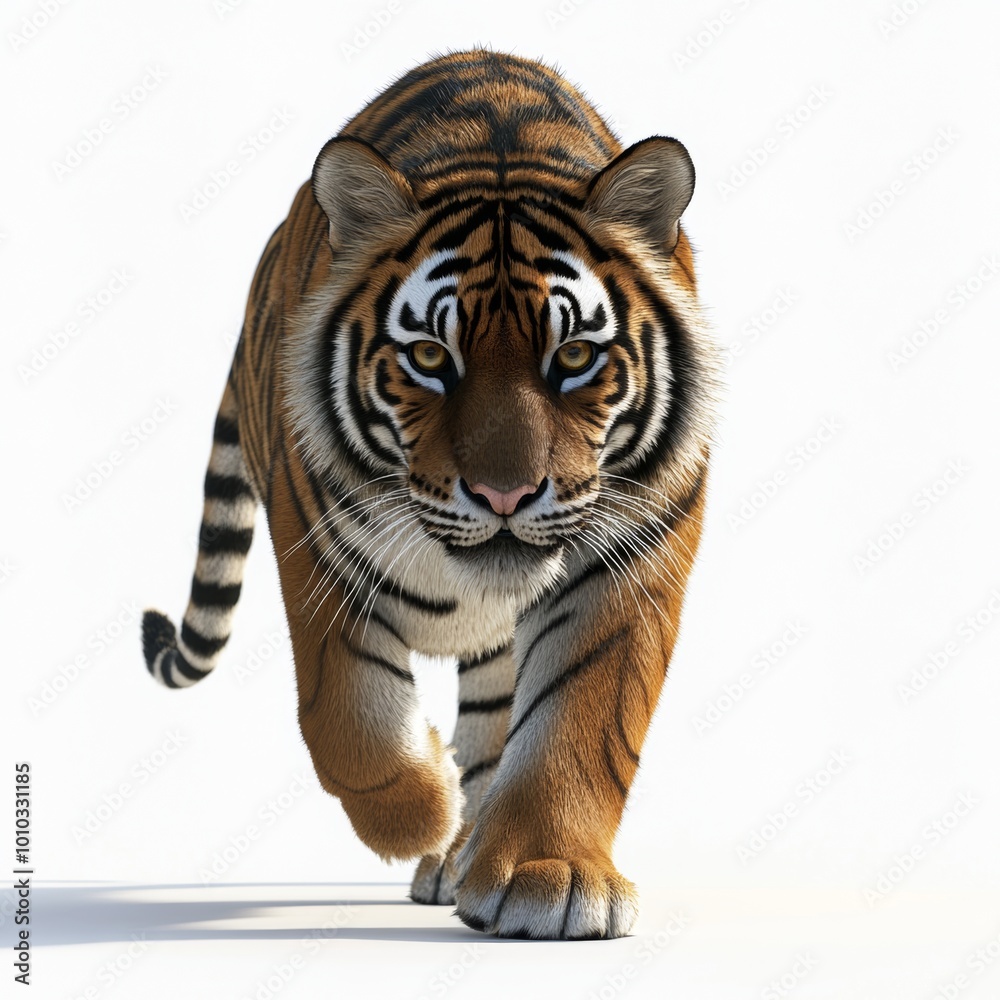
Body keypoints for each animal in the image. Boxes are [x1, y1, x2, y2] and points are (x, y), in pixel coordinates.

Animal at [141, 48, 717, 940]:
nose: (505, 494)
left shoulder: (633, 551)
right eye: (428, 357)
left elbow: (577, 720)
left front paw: (549, 874)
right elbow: (348, 719)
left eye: (575, 356)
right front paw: (425, 807)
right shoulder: (316, 547)